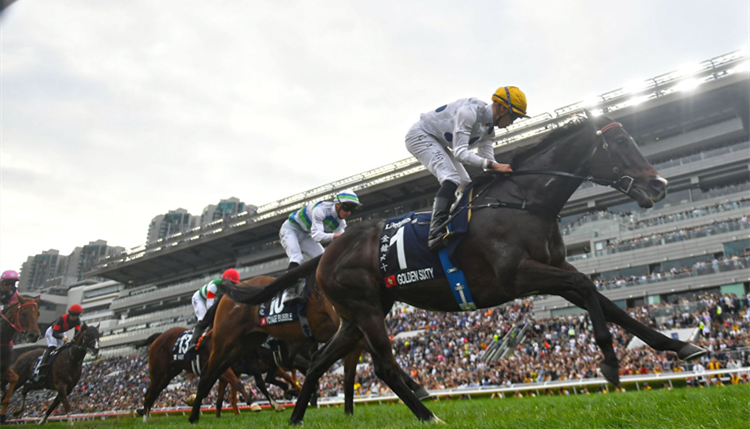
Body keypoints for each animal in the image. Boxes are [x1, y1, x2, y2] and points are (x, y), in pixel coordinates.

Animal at [0, 294, 41, 422]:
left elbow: (14, 378)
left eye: (38, 313)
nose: (34, 335)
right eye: (24, 314)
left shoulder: (5, 368)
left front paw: (2, 414)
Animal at [219, 112, 712, 422]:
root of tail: (327, 252)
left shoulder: (549, 270)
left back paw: (298, 418)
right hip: (366, 312)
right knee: (381, 367)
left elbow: (608, 301)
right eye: (622, 143)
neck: (524, 202)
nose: (660, 185)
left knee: (320, 363)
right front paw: (609, 361)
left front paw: (681, 346)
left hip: (358, 316)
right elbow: (588, 287)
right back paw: (428, 414)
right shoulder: (518, 277)